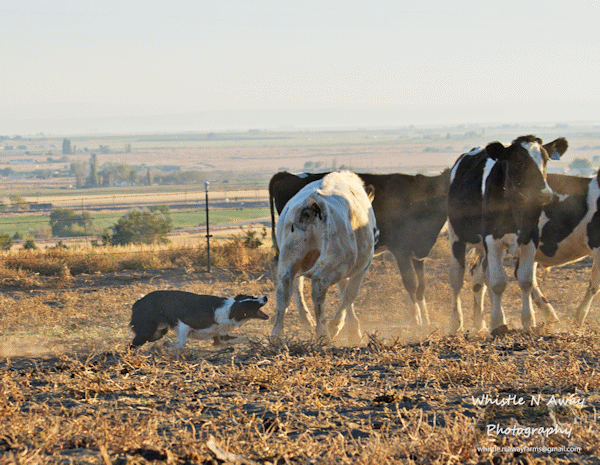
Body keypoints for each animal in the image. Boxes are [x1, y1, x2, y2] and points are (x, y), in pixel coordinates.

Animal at [268, 169, 450, 324]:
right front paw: (416, 321)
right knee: (294, 280)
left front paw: (426, 320)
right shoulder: (401, 249)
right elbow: (411, 283)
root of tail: (288, 175)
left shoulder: (419, 250)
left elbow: (421, 286)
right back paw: (308, 320)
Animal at [446, 134, 568, 334]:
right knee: (457, 279)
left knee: (479, 275)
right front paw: (498, 323)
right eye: (519, 162)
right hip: (456, 236)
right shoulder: (492, 238)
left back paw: (480, 323)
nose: (545, 194)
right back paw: (456, 323)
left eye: (546, 160)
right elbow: (497, 282)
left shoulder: (530, 238)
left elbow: (525, 279)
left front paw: (528, 321)